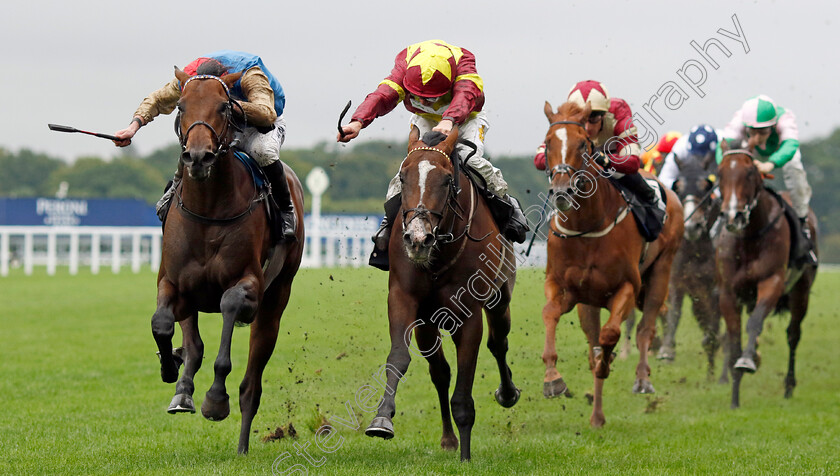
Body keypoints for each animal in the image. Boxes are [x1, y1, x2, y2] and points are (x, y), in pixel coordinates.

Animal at [366, 125, 520, 462]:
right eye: (403, 177)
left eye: (447, 179)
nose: (417, 238)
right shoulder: (405, 299)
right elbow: (399, 357)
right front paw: (382, 418)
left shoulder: (470, 313)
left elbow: (465, 386)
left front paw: (466, 456)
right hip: (428, 323)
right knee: (440, 372)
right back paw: (448, 439)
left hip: (500, 296)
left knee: (498, 342)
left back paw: (507, 393)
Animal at [540, 101, 684, 428]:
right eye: (549, 142)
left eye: (583, 144)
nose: (562, 192)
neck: (587, 226)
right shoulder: (563, 286)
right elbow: (550, 313)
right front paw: (553, 378)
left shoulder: (628, 287)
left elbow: (611, 335)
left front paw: (607, 364)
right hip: (588, 303)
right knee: (594, 339)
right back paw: (597, 416)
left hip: (663, 269)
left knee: (645, 328)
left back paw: (642, 379)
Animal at [652, 154, 724, 382]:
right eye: (679, 186)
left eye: (705, 185)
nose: (692, 227)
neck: (695, 250)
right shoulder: (676, 281)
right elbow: (674, 312)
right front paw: (667, 350)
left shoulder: (714, 289)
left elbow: (713, 328)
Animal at [712, 142, 816, 410]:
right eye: (720, 173)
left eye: (750, 173)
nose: (733, 216)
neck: (749, 237)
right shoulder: (728, 292)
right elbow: (734, 337)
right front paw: (734, 398)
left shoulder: (772, 282)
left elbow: (755, 323)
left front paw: (747, 360)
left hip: (801, 291)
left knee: (793, 334)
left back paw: (788, 386)